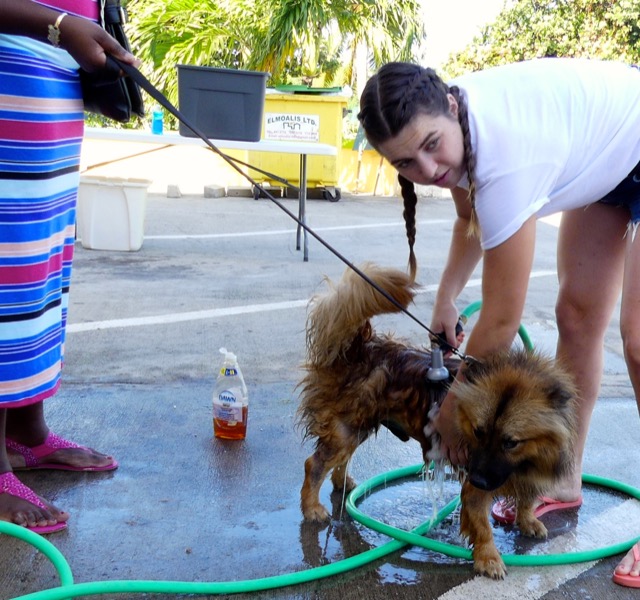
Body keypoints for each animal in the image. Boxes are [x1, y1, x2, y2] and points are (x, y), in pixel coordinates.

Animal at [298, 264, 576, 580]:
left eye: (511, 442)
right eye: (478, 432)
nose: (479, 478)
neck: (522, 463)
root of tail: (360, 347)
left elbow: (527, 499)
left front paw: (527, 520)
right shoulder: (475, 483)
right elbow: (481, 524)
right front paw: (489, 557)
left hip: (358, 426)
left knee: (342, 458)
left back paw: (343, 482)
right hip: (347, 427)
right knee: (315, 464)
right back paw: (312, 507)